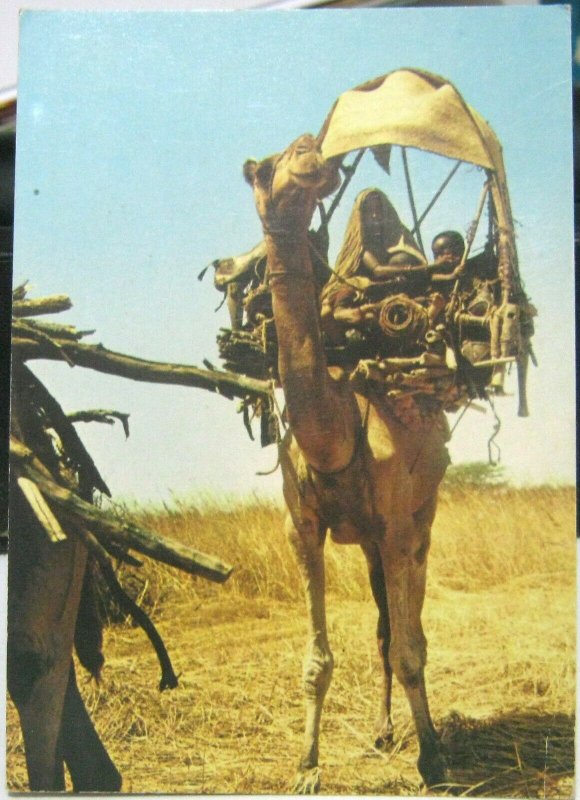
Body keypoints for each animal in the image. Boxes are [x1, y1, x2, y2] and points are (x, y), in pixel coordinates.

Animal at [242, 134, 450, 792]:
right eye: (272, 164)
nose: (315, 151)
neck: (333, 436)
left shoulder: (396, 524)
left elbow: (410, 648)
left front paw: (433, 760)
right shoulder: (301, 527)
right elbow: (317, 659)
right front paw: (307, 766)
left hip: (420, 521)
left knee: (405, 629)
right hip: (367, 543)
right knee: (384, 627)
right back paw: (383, 730)